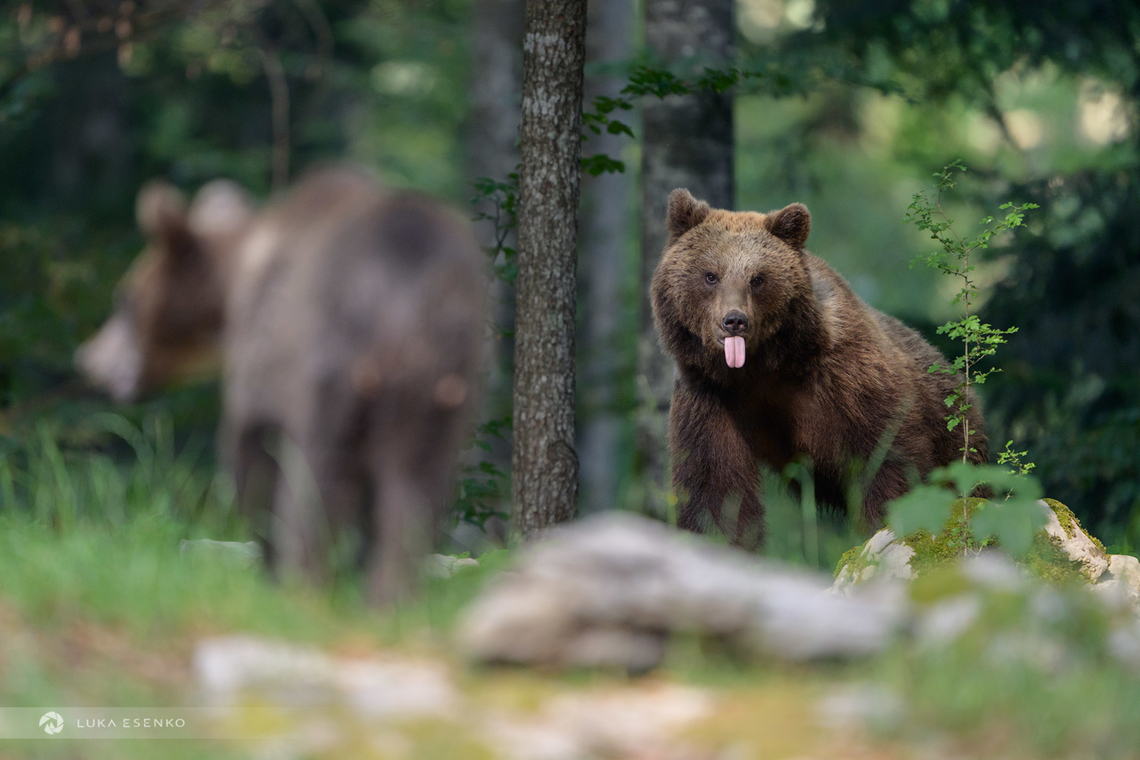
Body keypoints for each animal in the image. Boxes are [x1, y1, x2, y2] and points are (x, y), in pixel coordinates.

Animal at [77, 166, 488, 603]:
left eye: (123, 298)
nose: (88, 358)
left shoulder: (264, 360)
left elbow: (253, 452)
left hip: (331, 368)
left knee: (321, 475)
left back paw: (308, 587)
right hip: (445, 377)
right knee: (417, 482)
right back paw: (389, 596)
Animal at [650, 188, 987, 547]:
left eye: (758, 278)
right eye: (710, 275)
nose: (734, 320)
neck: (762, 368)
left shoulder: (849, 379)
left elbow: (886, 456)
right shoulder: (710, 396)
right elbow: (715, 487)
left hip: (955, 435)